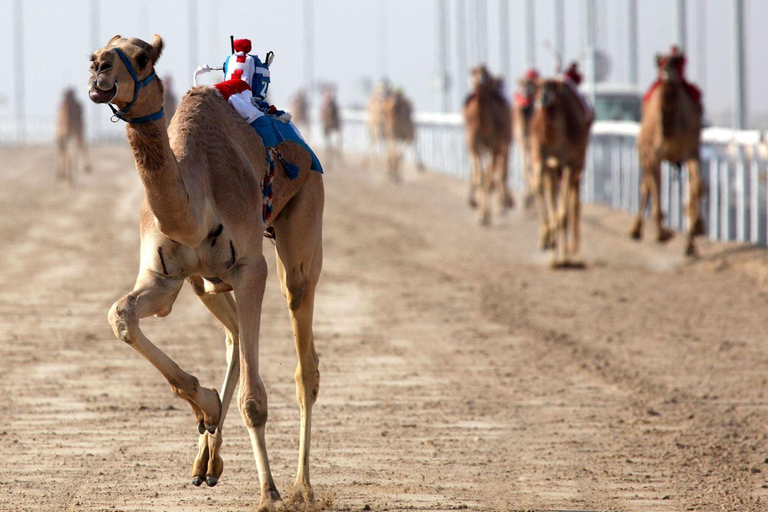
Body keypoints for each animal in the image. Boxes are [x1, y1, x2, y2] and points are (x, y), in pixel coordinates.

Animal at [88, 35, 324, 508]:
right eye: (95, 55)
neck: (194, 209)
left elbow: (254, 399)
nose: (100, 72)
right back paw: (207, 460)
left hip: (305, 210)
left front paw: (270, 493)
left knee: (303, 355)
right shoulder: (163, 278)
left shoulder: (251, 270)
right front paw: (207, 405)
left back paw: (301, 488)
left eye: (141, 57)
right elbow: (121, 315)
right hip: (206, 282)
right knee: (232, 336)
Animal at [462, 65, 516, 225]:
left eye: (484, 73)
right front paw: (481, 214)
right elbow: (480, 177)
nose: (479, 81)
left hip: (505, 141)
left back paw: (505, 204)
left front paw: (485, 215)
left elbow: (489, 178)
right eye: (473, 73)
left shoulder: (495, 146)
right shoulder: (473, 145)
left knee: (501, 171)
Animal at [528, 78, 592, 268]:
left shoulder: (568, 164)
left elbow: (563, 213)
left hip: (576, 165)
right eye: (539, 86)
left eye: (554, 87)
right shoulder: (543, 161)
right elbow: (541, 189)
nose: (543, 97)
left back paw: (568, 250)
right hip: (553, 170)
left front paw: (561, 258)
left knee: (573, 200)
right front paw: (550, 246)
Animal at [628, 48, 704, 256]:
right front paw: (663, 234)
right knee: (646, 186)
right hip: (644, 153)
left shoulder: (691, 151)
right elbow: (655, 189)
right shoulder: (653, 156)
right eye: (661, 62)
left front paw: (696, 229)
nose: (668, 73)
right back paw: (635, 230)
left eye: (677, 61)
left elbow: (697, 186)